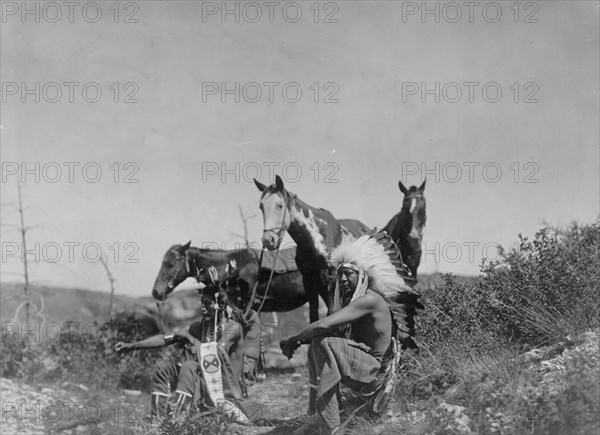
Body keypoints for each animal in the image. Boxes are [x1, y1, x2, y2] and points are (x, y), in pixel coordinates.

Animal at [254, 175, 370, 324]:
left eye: (280, 205)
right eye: (261, 207)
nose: (268, 240)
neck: (316, 239)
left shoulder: (331, 278)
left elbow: (332, 312)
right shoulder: (309, 280)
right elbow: (314, 316)